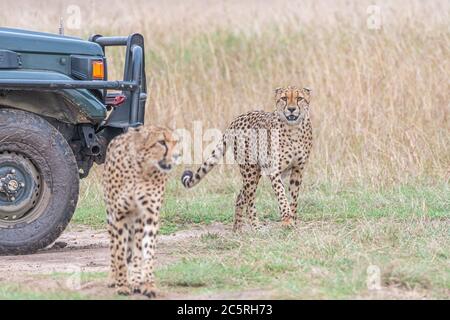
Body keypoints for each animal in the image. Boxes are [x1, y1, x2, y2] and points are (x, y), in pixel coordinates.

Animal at [103, 125, 178, 298]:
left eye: (175, 142)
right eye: (161, 142)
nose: (177, 156)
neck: (142, 168)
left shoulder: (149, 215)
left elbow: (147, 251)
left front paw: (148, 284)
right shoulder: (120, 215)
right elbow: (119, 251)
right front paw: (122, 285)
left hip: (137, 220)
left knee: (136, 249)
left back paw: (136, 280)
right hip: (111, 215)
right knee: (113, 247)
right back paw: (113, 277)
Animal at [181, 85, 312, 230]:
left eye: (299, 98)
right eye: (284, 98)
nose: (291, 109)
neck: (293, 128)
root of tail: (237, 118)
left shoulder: (298, 169)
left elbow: (293, 197)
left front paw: (293, 221)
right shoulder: (274, 170)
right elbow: (281, 194)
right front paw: (287, 219)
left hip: (254, 173)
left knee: (240, 196)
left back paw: (237, 229)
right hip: (250, 170)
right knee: (249, 198)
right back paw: (256, 227)